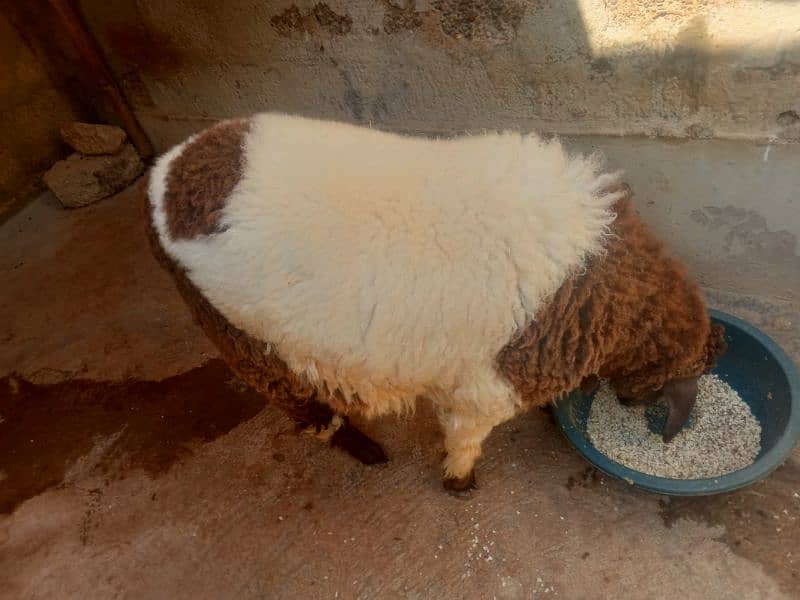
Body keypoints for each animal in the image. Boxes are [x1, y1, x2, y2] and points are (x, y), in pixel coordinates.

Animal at [144, 112, 724, 492]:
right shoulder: (486, 388)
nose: (628, 405)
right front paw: (460, 483)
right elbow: (465, 441)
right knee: (308, 413)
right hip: (246, 343)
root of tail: (165, 177)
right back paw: (368, 453)